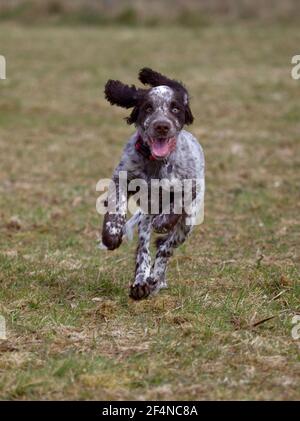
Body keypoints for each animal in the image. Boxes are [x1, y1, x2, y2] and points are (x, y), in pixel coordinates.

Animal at [99, 68, 205, 298]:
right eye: (148, 107)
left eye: (175, 108)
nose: (162, 126)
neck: (156, 163)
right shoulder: (122, 178)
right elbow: (117, 207)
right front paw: (111, 235)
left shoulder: (191, 186)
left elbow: (178, 203)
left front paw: (164, 221)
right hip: (145, 218)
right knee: (144, 249)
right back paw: (141, 282)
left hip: (187, 224)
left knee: (165, 249)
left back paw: (154, 280)